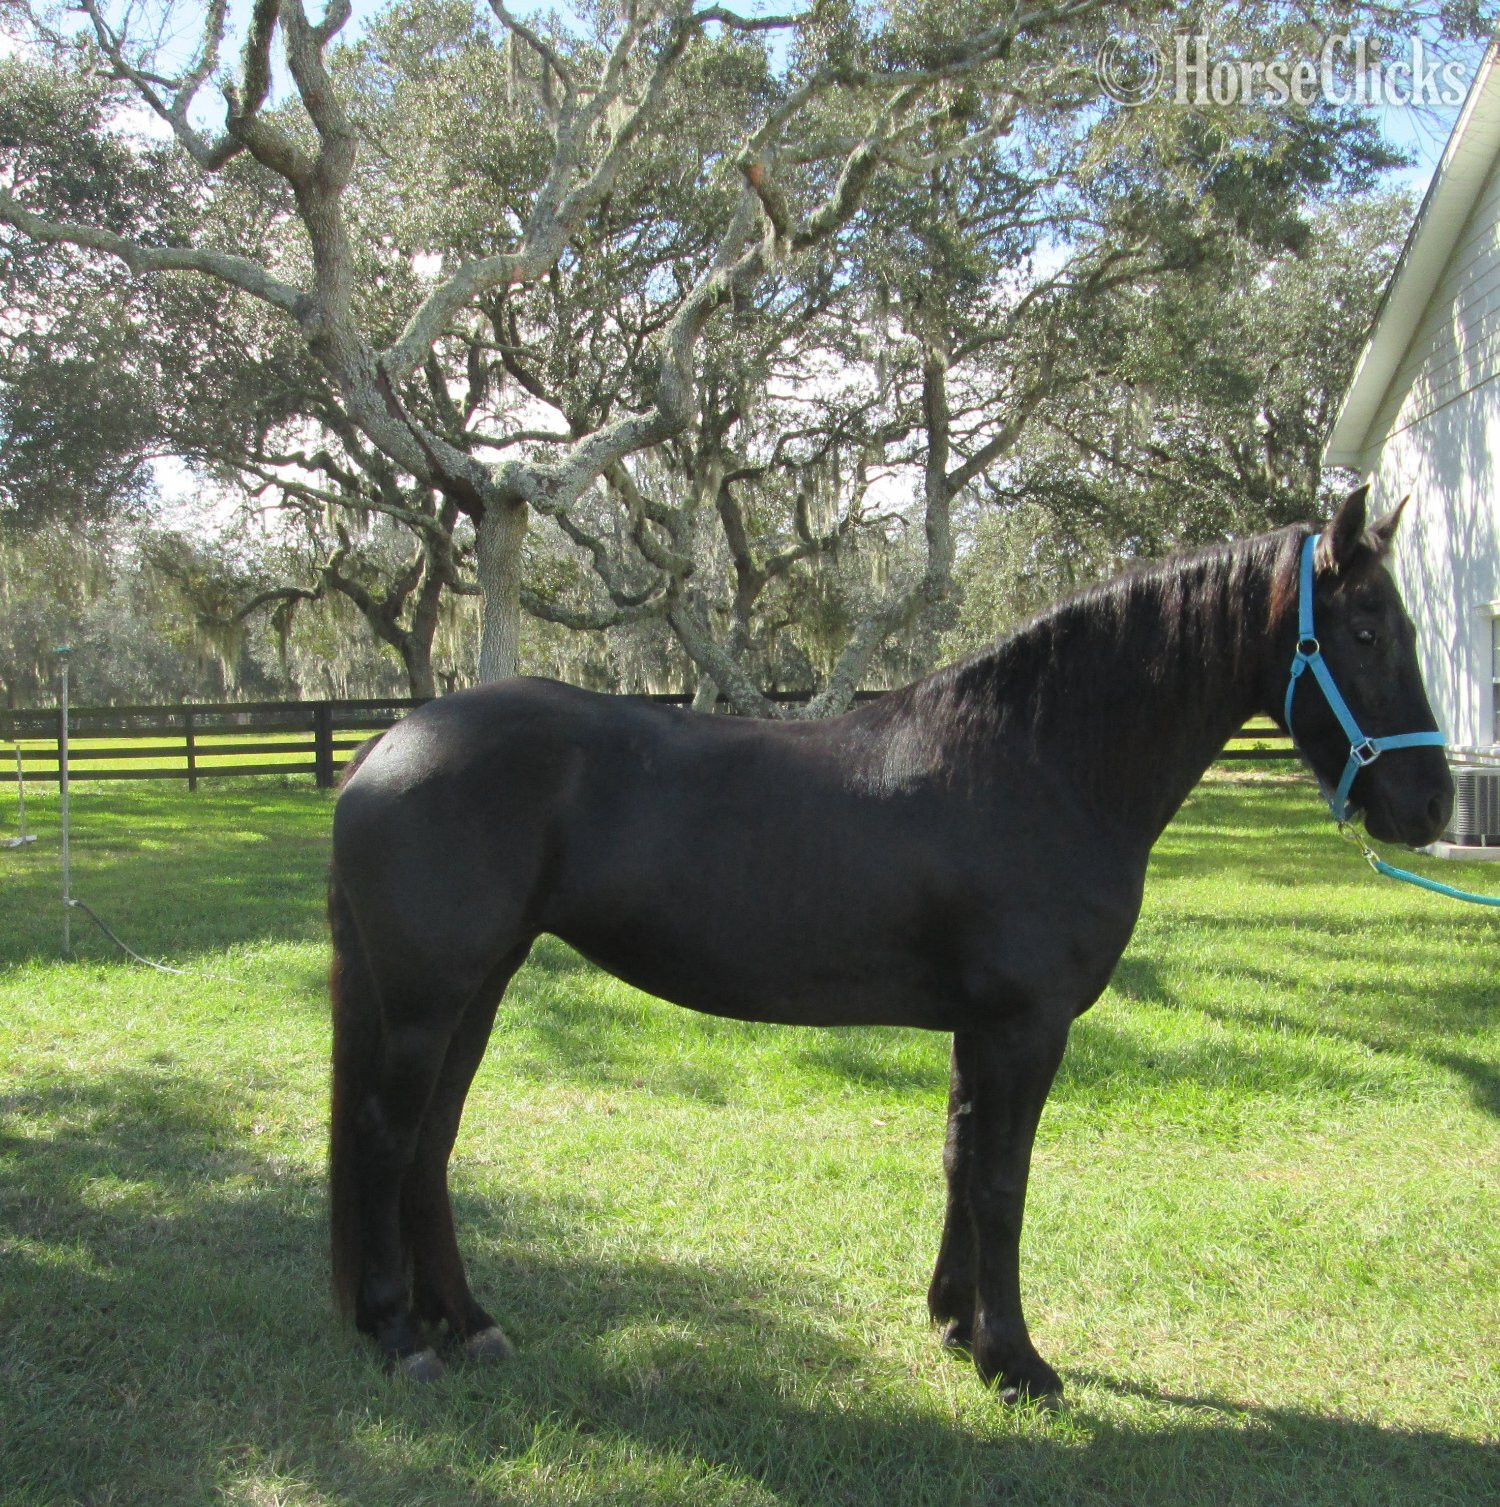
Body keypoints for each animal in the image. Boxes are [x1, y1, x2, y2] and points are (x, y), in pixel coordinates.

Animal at [326, 484, 1454, 1402]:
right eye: (1363, 629)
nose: (1432, 804)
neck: (1040, 761)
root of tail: (385, 746)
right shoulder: (1024, 1026)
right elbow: (1002, 1181)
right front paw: (1016, 1360)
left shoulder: (979, 1028)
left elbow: (960, 1158)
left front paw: (957, 1324)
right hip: (429, 1000)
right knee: (388, 1137)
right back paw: (399, 1333)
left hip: (478, 987)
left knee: (429, 1145)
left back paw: (466, 1323)